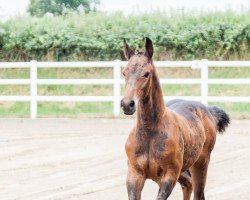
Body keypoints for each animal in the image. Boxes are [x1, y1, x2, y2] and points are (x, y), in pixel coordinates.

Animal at [120, 37, 229, 200]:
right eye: (124, 72)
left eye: (146, 73)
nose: (127, 104)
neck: (150, 132)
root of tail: (208, 111)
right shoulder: (134, 175)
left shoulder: (168, 177)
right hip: (184, 170)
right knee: (188, 184)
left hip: (200, 164)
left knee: (197, 191)